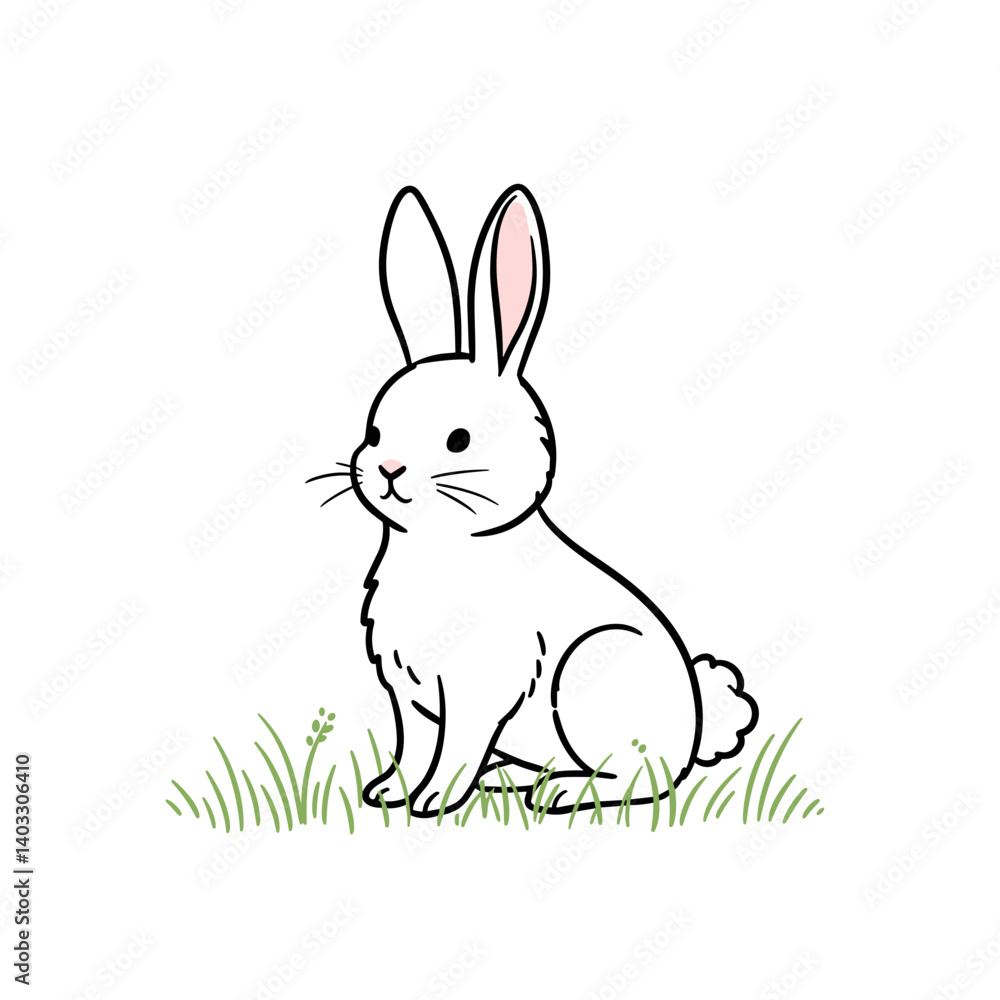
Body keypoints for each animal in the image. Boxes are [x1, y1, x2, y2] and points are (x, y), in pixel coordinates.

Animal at [318, 183, 757, 817]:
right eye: (374, 433)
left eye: (459, 439)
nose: (388, 470)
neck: (441, 546)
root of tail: (696, 727)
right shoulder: (409, 694)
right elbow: (413, 743)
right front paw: (388, 792)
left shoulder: (478, 691)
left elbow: (456, 747)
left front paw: (433, 802)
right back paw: (511, 779)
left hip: (590, 675)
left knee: (640, 778)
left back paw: (557, 792)